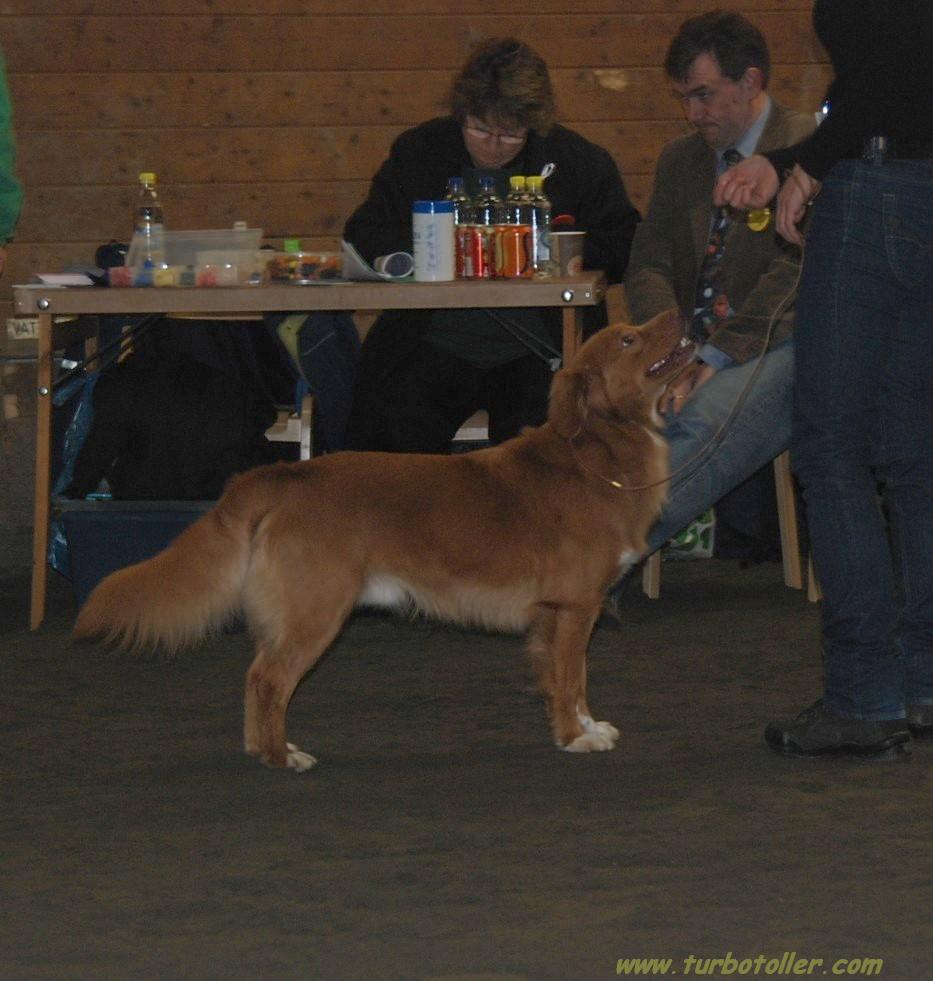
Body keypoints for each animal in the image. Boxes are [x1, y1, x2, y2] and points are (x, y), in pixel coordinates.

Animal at [74, 310, 692, 768]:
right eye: (630, 338)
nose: (680, 312)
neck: (597, 458)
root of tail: (285, 474)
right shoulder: (572, 606)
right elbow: (566, 680)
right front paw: (573, 736)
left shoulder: (567, 613)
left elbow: (574, 678)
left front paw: (588, 724)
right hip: (317, 609)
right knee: (269, 679)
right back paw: (280, 756)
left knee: (255, 676)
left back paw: (260, 747)